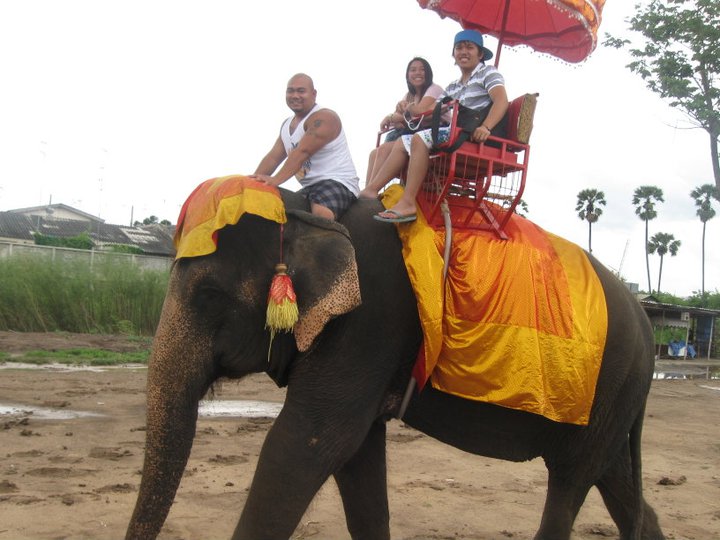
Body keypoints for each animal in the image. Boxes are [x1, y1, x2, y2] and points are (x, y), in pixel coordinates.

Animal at [128, 186, 664, 540]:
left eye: (207, 295)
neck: (306, 210)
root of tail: (649, 324)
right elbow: (357, 455)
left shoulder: (371, 319)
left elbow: (305, 444)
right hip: (614, 401)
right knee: (613, 479)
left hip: (611, 384)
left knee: (571, 481)